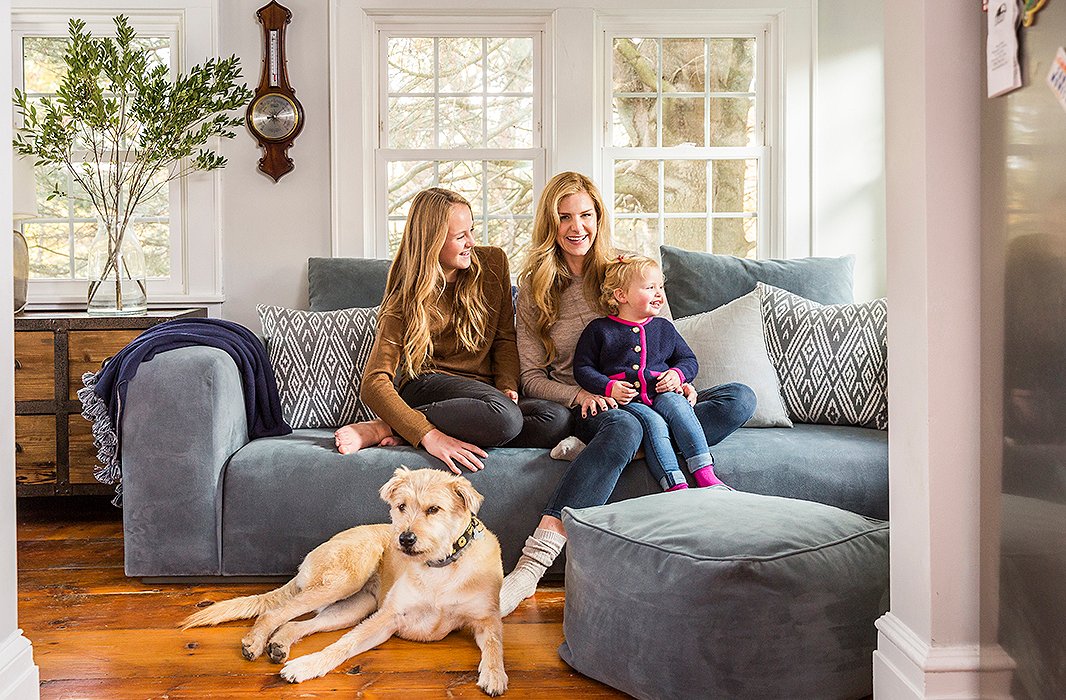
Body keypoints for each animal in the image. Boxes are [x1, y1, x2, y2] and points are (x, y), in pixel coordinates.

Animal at [182, 464, 507, 694]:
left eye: (434, 509)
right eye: (401, 506)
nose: (403, 539)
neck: (440, 567)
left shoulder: (486, 619)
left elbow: (494, 645)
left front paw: (495, 675)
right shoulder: (387, 618)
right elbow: (342, 646)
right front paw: (306, 666)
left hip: (353, 607)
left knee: (294, 624)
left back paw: (279, 645)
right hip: (345, 579)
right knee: (275, 612)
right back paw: (256, 641)